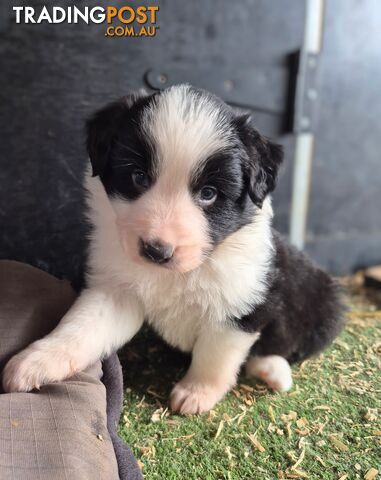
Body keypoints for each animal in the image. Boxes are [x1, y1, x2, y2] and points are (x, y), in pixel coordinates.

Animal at [2, 85, 342, 412]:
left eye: (208, 193)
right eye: (139, 177)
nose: (156, 251)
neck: (182, 272)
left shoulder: (238, 305)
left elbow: (215, 357)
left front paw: (196, 394)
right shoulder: (115, 292)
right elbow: (80, 328)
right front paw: (35, 361)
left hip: (325, 305)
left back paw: (273, 371)